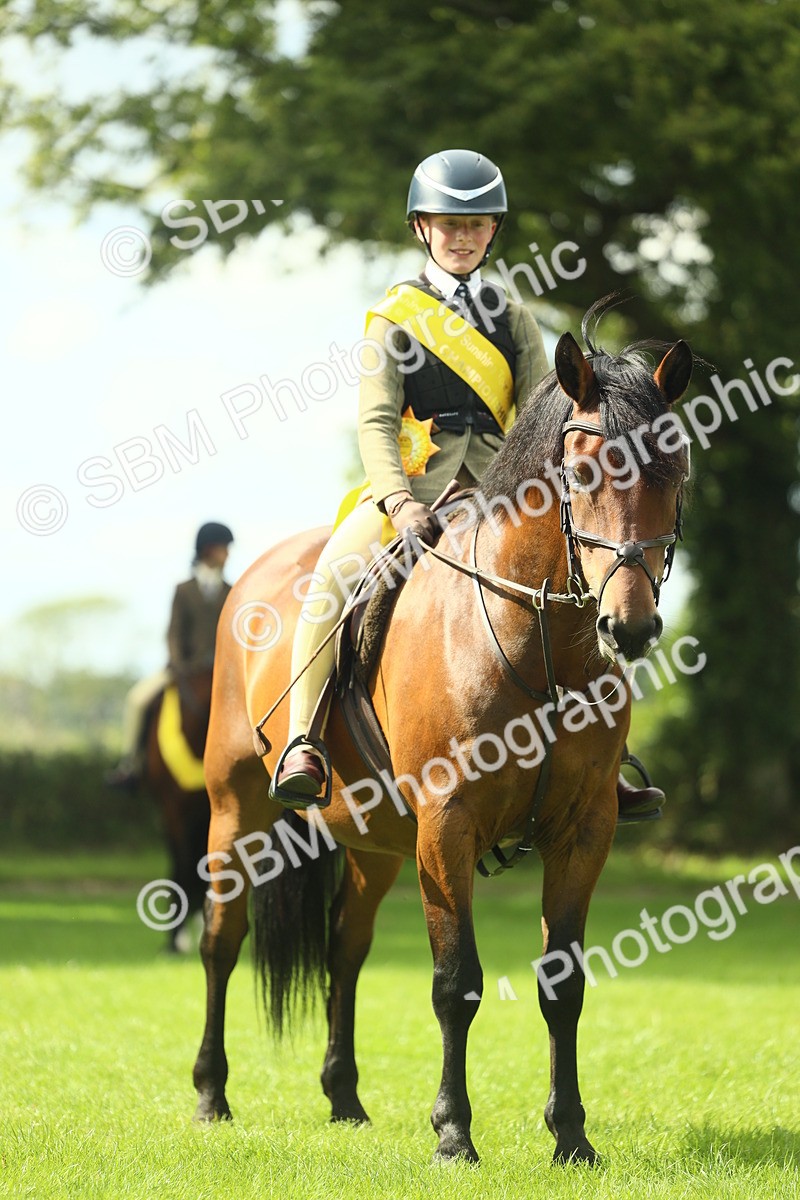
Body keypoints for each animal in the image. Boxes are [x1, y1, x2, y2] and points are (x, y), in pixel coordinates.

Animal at [192, 307, 693, 1165]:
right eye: (583, 471)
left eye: (677, 469)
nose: (629, 627)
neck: (536, 640)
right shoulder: (447, 827)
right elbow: (456, 983)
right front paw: (454, 1134)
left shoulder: (584, 830)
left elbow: (564, 982)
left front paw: (571, 1136)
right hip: (239, 812)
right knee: (223, 940)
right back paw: (211, 1094)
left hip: (374, 843)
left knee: (345, 948)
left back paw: (345, 1099)